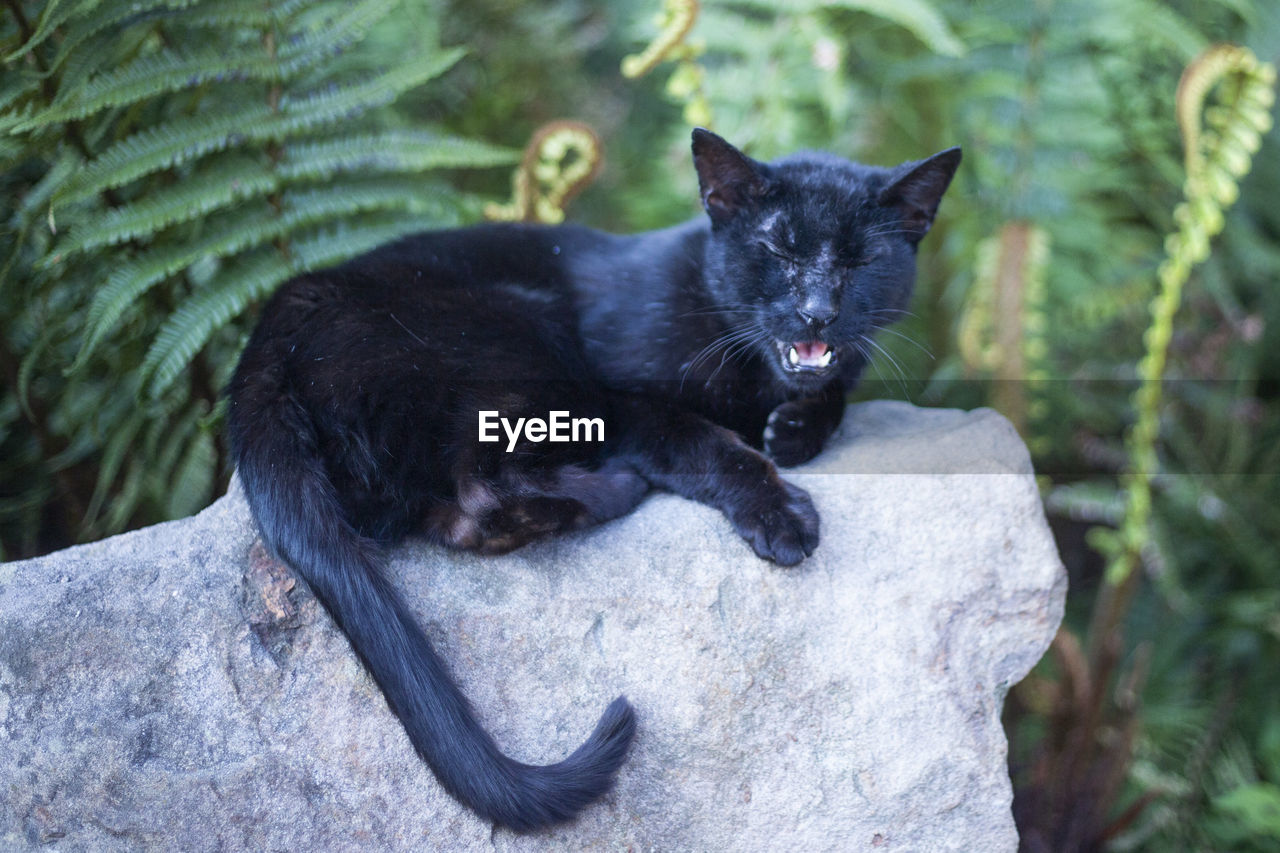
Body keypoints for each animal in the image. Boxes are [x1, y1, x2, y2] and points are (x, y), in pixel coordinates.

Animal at [225, 129, 957, 824]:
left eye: (862, 262)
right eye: (777, 251)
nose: (816, 313)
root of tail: (274, 326)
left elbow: (834, 390)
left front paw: (799, 428)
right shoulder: (622, 397)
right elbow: (704, 442)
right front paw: (779, 510)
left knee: (461, 513)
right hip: (524, 338)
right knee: (479, 489)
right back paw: (620, 486)